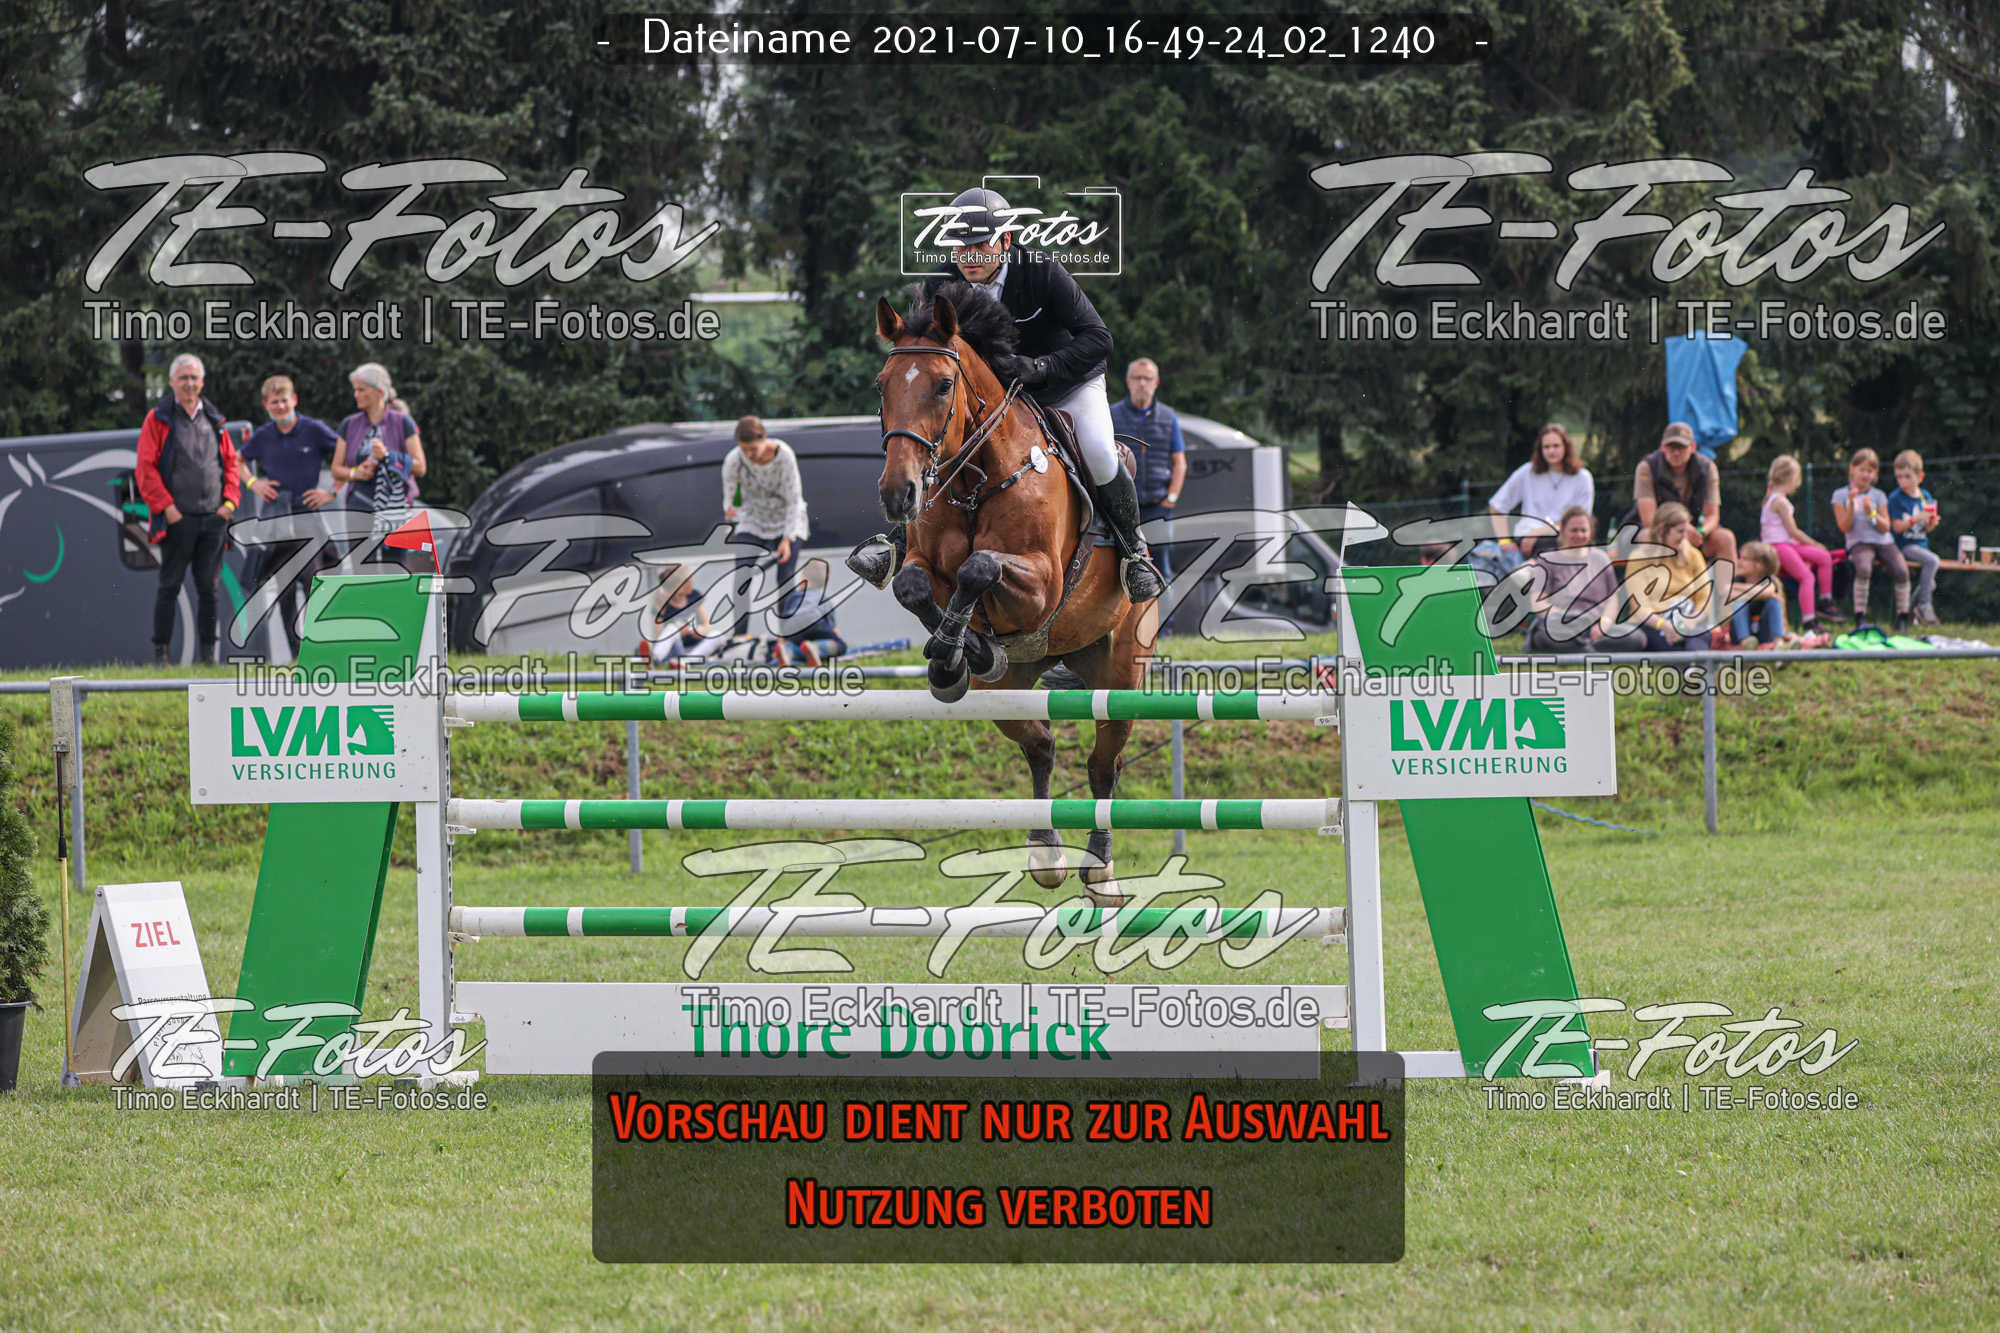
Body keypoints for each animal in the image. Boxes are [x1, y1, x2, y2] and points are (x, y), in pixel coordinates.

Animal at [874, 282, 1155, 901]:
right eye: (881, 385)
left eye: (944, 385)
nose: (898, 494)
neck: (976, 477)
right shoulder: (924, 563)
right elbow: (912, 584)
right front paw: (957, 655)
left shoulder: (1043, 583)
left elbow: (979, 569)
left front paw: (961, 646)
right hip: (1010, 691)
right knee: (1040, 742)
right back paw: (1044, 850)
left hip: (1120, 670)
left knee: (1103, 763)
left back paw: (1099, 870)